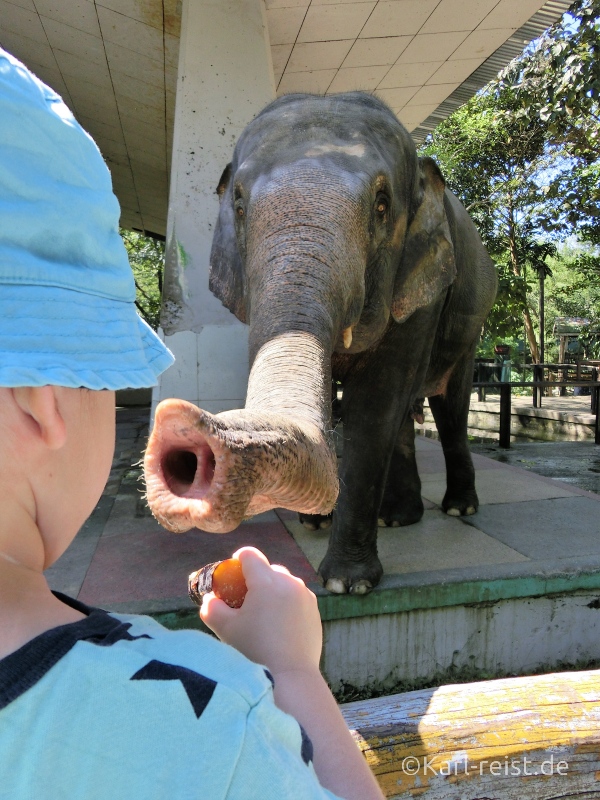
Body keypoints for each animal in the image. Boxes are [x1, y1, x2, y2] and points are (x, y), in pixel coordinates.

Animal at [145, 92, 496, 592]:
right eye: (238, 206)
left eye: (382, 206)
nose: (181, 435)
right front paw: (314, 523)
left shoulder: (422, 295)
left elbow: (377, 402)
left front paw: (346, 584)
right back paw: (398, 518)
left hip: (470, 317)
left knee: (450, 406)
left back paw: (458, 508)